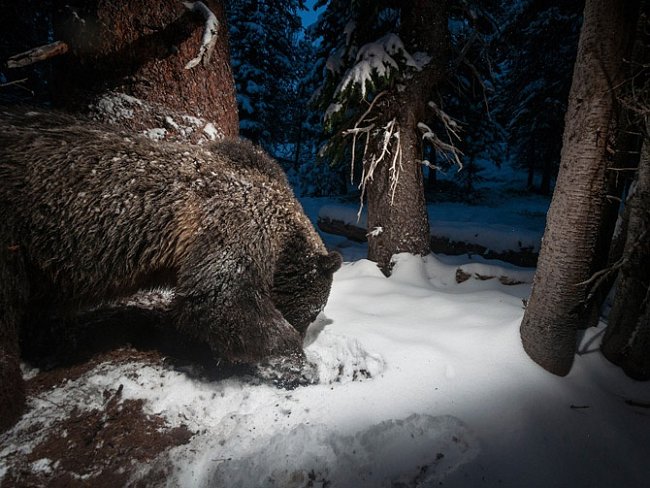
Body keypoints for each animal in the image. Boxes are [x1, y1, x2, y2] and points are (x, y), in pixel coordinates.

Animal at [0, 109, 342, 430]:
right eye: (310, 313)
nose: (305, 333)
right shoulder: (234, 224)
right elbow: (221, 298)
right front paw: (298, 364)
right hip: (15, 233)